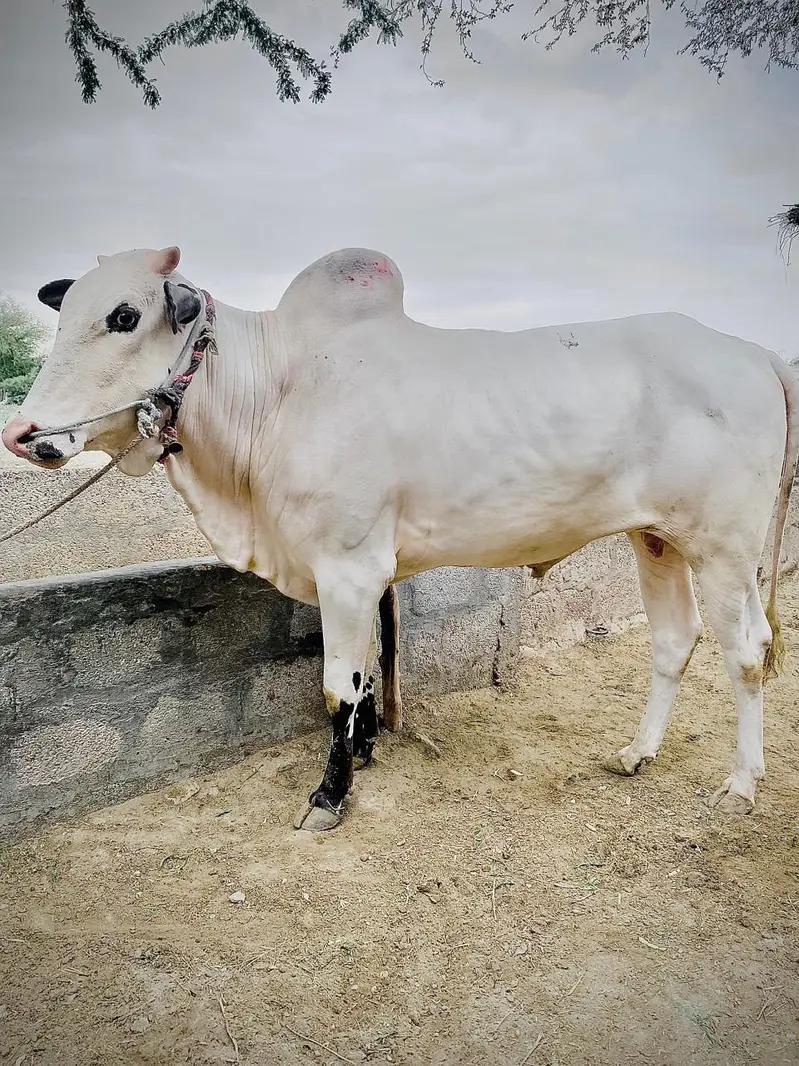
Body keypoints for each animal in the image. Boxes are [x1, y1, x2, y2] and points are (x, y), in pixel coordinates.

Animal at [3, 244, 798, 830]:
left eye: (124, 314)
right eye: (62, 316)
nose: (23, 432)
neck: (277, 391)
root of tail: (754, 352)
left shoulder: (348, 568)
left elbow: (336, 687)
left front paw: (330, 793)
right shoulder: (360, 573)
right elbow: (364, 679)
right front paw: (365, 750)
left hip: (725, 549)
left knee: (746, 653)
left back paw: (741, 784)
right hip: (655, 538)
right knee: (673, 641)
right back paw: (637, 753)